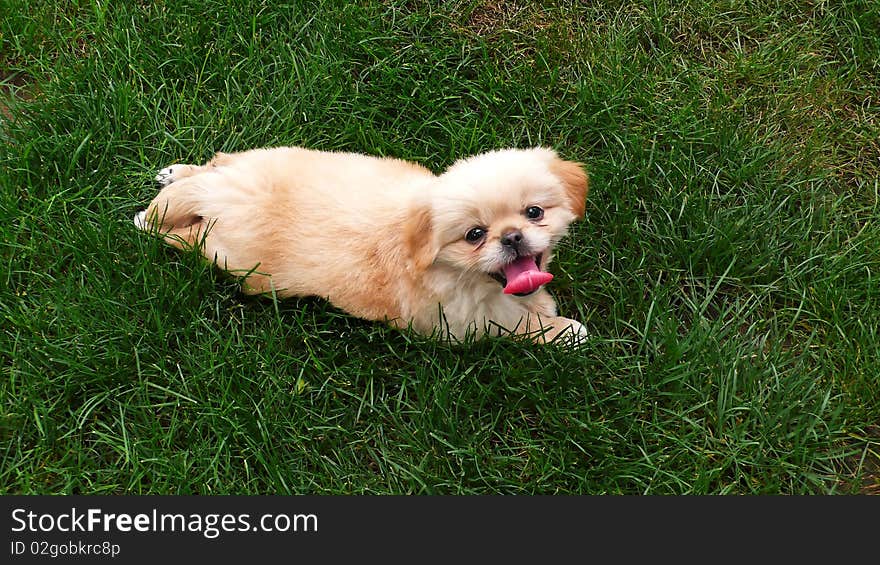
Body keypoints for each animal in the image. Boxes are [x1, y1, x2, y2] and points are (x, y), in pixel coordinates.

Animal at [136, 145, 592, 344]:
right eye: (474, 235)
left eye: (534, 212)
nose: (512, 237)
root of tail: (219, 195)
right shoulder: (462, 321)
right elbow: (515, 322)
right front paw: (563, 330)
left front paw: (543, 305)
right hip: (233, 258)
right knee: (180, 236)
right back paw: (152, 221)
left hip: (257, 159)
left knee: (217, 162)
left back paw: (176, 171)